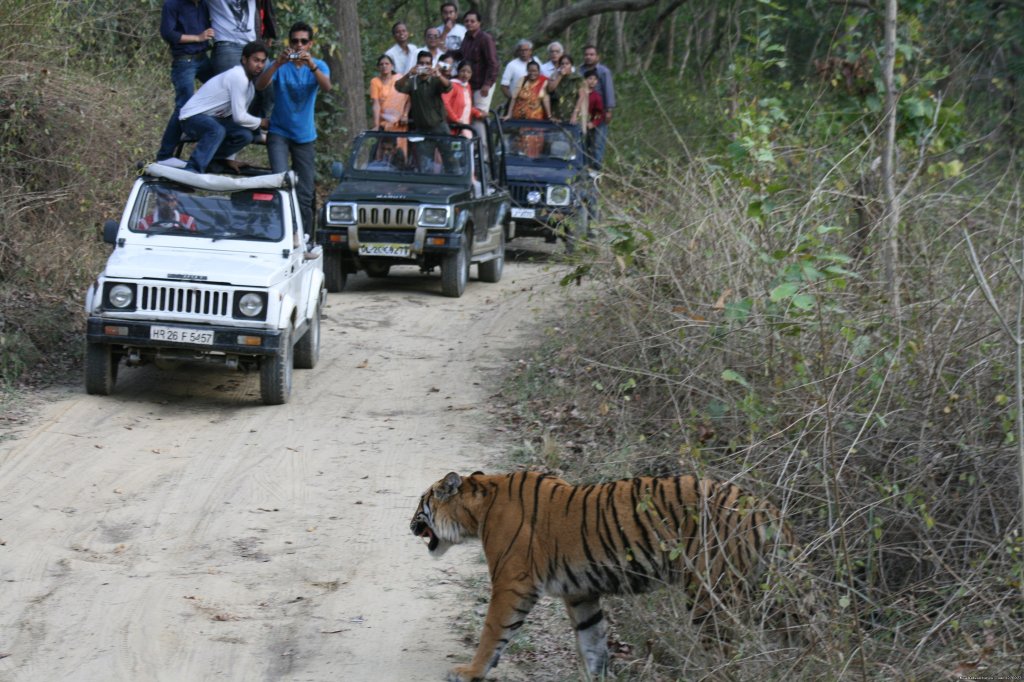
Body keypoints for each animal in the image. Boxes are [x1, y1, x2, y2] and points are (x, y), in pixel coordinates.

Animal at [409, 466, 806, 679]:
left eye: (420, 504)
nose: (409, 526)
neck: (480, 508)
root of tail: (768, 509)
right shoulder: (580, 592)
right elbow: (592, 638)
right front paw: (598, 675)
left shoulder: (512, 583)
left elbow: (493, 631)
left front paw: (470, 672)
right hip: (772, 595)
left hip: (712, 595)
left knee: (726, 657)